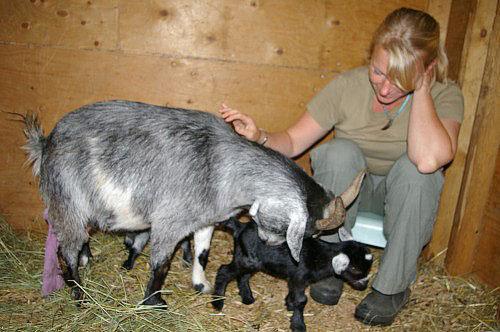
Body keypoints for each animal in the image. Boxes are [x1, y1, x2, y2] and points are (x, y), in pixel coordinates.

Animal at [21, 100, 364, 306]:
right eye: (305, 233)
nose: (270, 245)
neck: (223, 168)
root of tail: (45, 143)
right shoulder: (169, 222)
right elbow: (161, 263)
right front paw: (154, 302)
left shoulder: (205, 220)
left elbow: (202, 253)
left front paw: (201, 285)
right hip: (68, 201)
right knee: (65, 250)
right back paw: (79, 295)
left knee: (74, 241)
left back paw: (86, 262)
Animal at [211, 218, 372, 332]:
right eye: (355, 269)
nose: (364, 285)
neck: (320, 256)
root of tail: (241, 227)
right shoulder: (299, 278)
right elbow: (301, 300)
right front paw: (298, 325)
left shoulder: (294, 278)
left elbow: (293, 294)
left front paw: (289, 304)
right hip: (247, 259)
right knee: (224, 271)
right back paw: (217, 302)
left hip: (252, 260)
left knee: (243, 276)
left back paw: (247, 298)